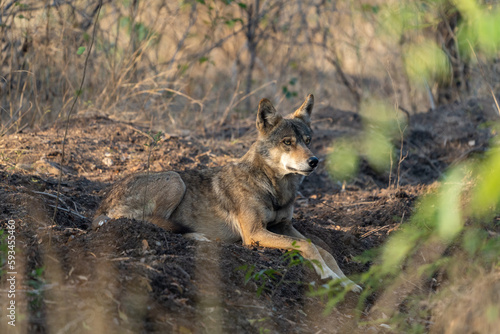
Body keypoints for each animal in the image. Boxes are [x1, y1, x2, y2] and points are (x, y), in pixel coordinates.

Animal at [94, 94, 364, 292]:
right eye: (287, 142)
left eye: (307, 140)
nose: (314, 161)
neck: (274, 188)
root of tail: (99, 208)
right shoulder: (255, 234)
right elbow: (308, 247)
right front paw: (329, 276)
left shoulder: (284, 226)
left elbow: (324, 250)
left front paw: (347, 281)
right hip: (175, 180)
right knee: (153, 223)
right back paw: (200, 237)